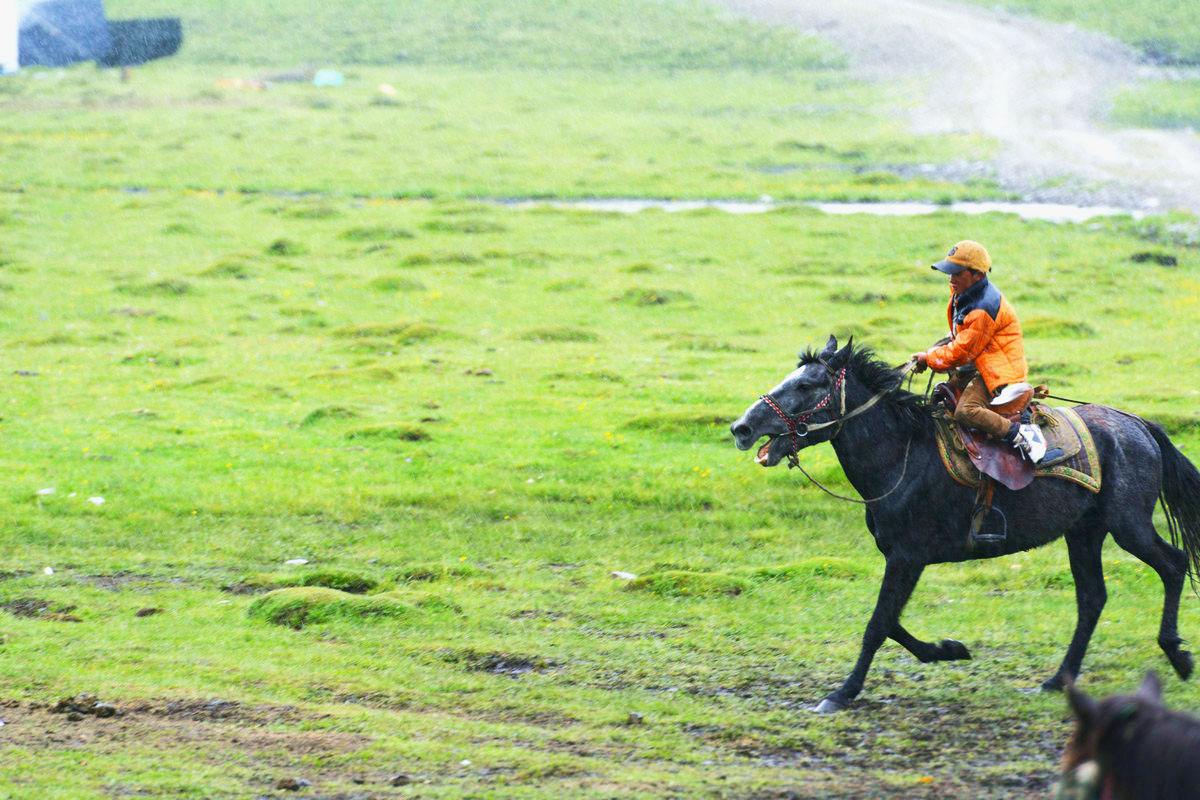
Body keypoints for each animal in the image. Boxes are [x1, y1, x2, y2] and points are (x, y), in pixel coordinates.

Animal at [724, 333, 1200, 714]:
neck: (902, 455)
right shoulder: (903, 558)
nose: (741, 428)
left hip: (1128, 526)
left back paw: (1177, 655)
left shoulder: (908, 557)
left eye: (806, 385)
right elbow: (890, 621)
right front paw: (948, 650)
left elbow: (878, 624)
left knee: (1173, 564)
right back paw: (1057, 680)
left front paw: (841, 693)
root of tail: (1138, 425)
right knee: (1092, 599)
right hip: (1084, 533)